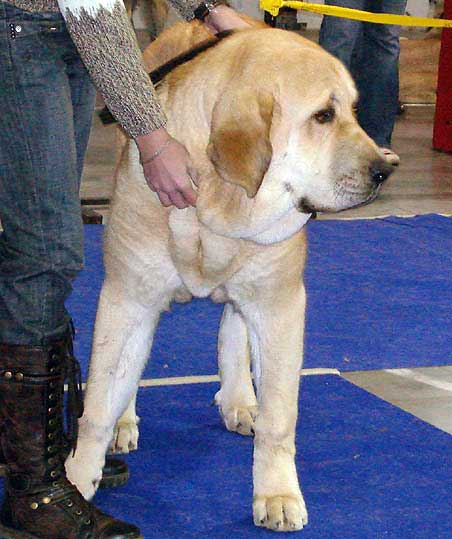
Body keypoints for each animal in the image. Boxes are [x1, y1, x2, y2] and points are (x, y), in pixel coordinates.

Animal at [65, 23, 394, 532]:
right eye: (322, 115)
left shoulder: (279, 306)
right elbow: (99, 402)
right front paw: (78, 480)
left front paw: (277, 495)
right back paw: (126, 421)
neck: (219, 202)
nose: (382, 170)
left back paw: (240, 399)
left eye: (354, 111)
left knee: (233, 327)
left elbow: (279, 418)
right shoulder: (127, 298)